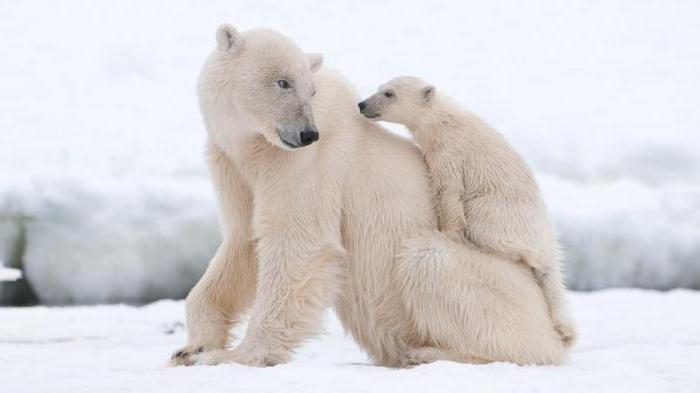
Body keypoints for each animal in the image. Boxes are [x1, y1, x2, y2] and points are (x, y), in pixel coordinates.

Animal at [171, 25, 568, 368]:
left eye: (310, 89)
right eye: (282, 82)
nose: (307, 133)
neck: (256, 148)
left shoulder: (307, 166)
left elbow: (299, 244)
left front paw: (232, 355)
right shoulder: (234, 167)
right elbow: (243, 244)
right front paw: (191, 348)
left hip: (495, 286)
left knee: (430, 261)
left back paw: (428, 352)